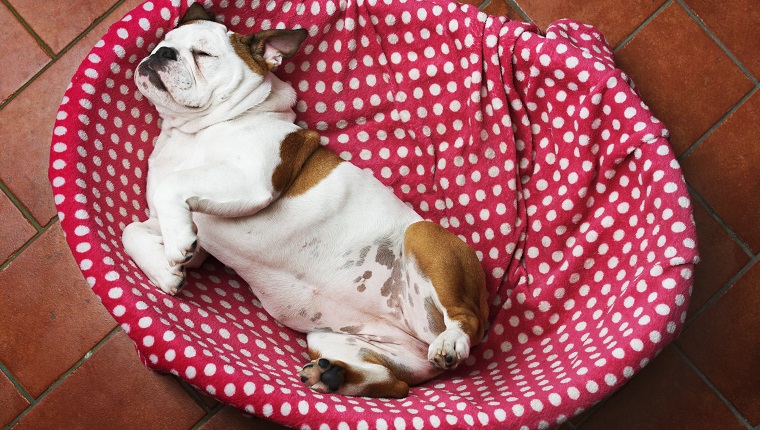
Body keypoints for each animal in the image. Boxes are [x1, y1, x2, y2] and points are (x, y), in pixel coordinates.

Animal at [119, 4, 486, 400]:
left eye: (203, 54)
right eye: (164, 41)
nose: (162, 53)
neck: (191, 132)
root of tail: (422, 337)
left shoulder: (251, 177)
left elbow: (174, 185)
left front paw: (173, 251)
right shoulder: (188, 230)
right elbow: (133, 230)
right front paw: (164, 271)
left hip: (424, 239)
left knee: (465, 319)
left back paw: (451, 342)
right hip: (332, 340)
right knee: (394, 383)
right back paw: (332, 376)